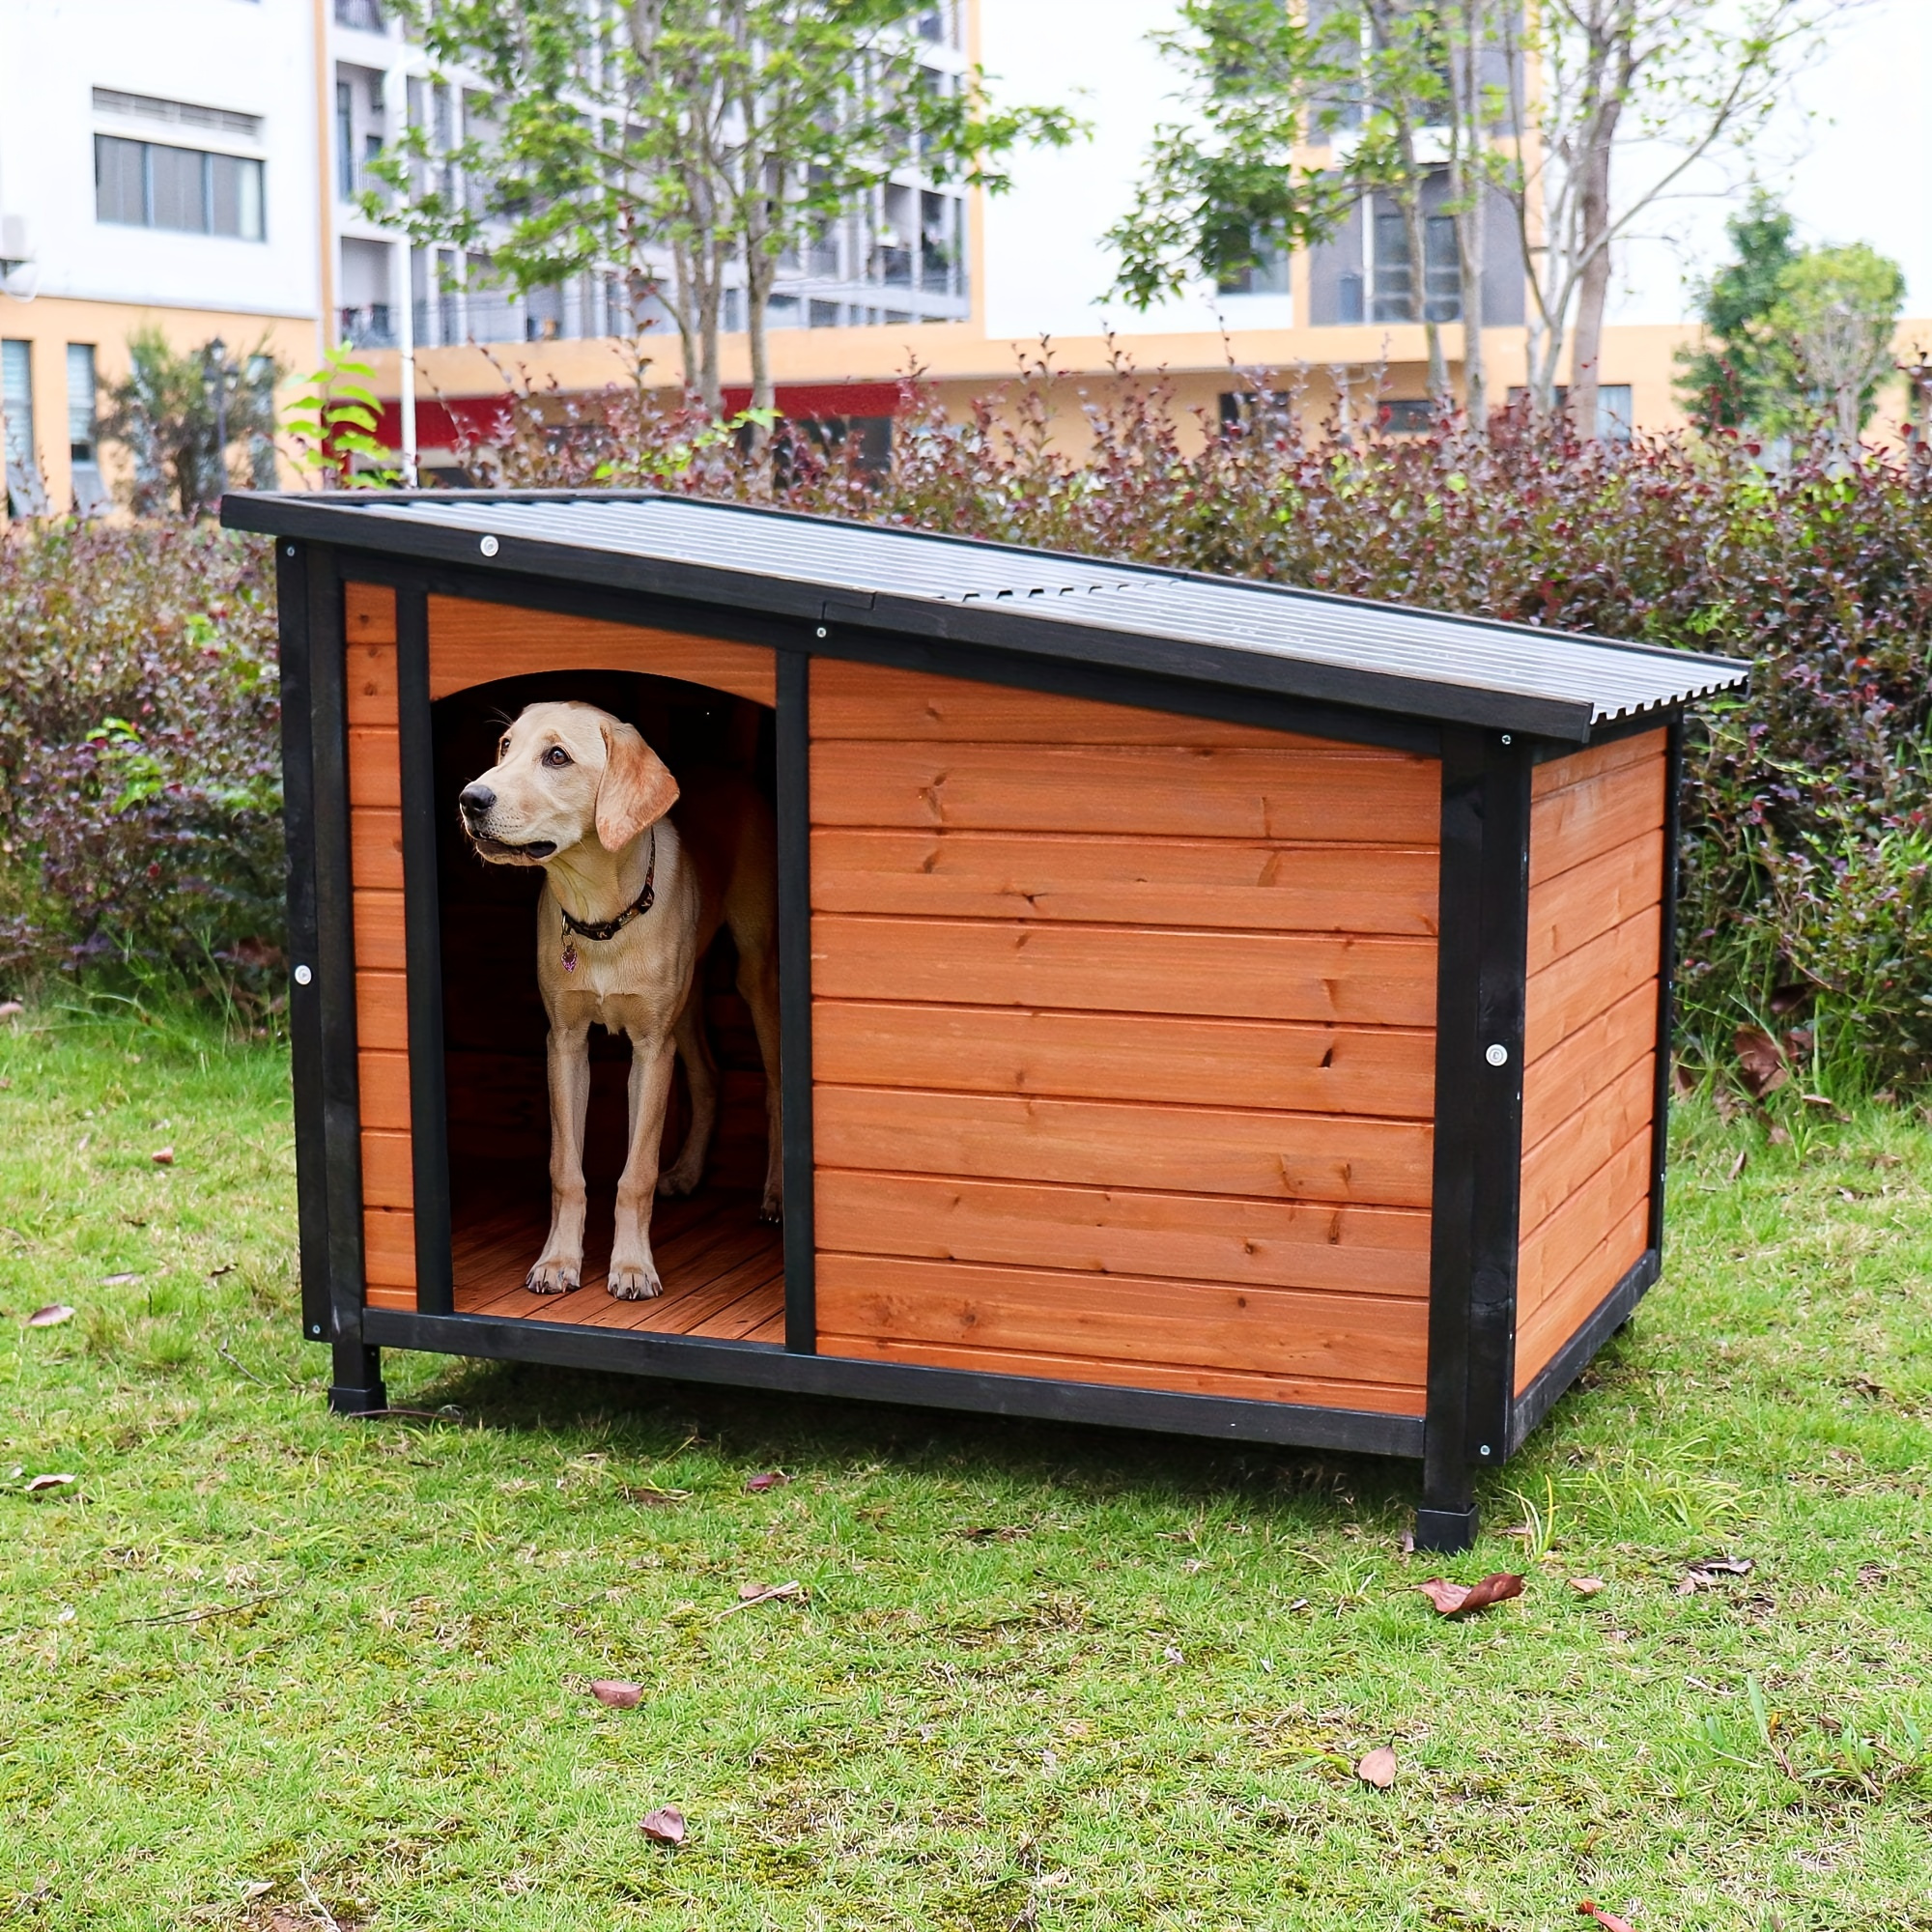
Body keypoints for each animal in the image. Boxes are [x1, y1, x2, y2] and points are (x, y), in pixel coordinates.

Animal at [456, 699, 781, 1298]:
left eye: (557, 757)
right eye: (506, 747)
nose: (470, 798)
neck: (600, 913)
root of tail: (728, 770)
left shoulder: (651, 1050)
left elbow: (636, 1173)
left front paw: (631, 1267)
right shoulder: (564, 1043)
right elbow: (566, 1168)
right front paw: (558, 1260)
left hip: (756, 975)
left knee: (773, 1086)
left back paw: (774, 1195)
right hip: (688, 1000)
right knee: (709, 1075)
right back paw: (688, 1173)